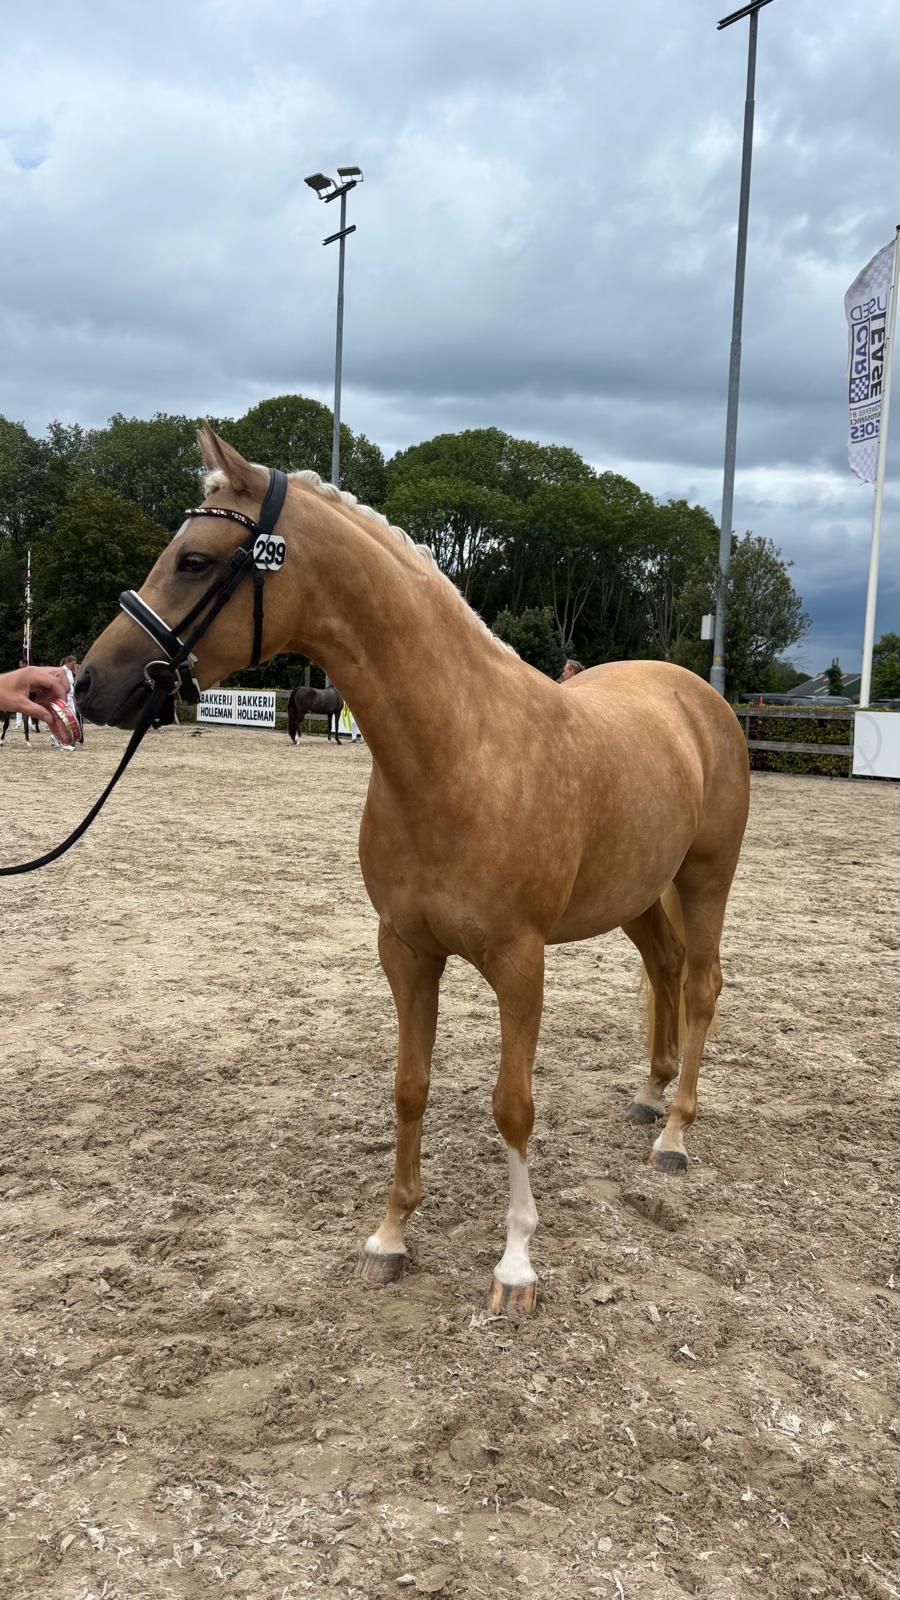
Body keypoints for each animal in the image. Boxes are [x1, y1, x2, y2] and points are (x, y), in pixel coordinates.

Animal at [76, 424, 750, 1318]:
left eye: (192, 560)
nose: (90, 683)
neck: (459, 751)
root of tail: (696, 696)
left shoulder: (518, 962)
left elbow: (512, 1106)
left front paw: (515, 1265)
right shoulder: (405, 949)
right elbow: (410, 1087)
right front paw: (390, 1237)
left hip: (706, 877)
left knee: (703, 984)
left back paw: (674, 1135)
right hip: (639, 894)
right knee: (667, 970)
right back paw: (648, 1098)